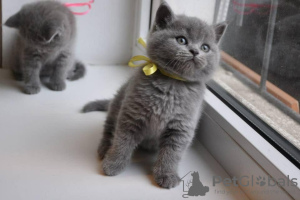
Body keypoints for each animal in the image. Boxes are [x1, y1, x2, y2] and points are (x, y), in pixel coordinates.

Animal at [83, 1, 226, 189]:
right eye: (181, 40)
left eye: (205, 47)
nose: (195, 51)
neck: (172, 85)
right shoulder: (131, 113)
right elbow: (122, 140)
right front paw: (113, 164)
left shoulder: (181, 127)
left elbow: (172, 153)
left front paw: (166, 174)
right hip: (118, 101)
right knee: (109, 127)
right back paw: (105, 148)